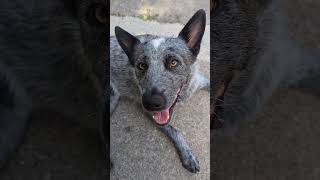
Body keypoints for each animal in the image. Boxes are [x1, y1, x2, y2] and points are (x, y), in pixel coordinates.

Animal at [110, 10, 210, 173]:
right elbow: (175, 130)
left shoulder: (200, 81)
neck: (184, 94)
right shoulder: (149, 112)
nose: (151, 102)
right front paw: (188, 155)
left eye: (173, 62)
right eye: (141, 65)